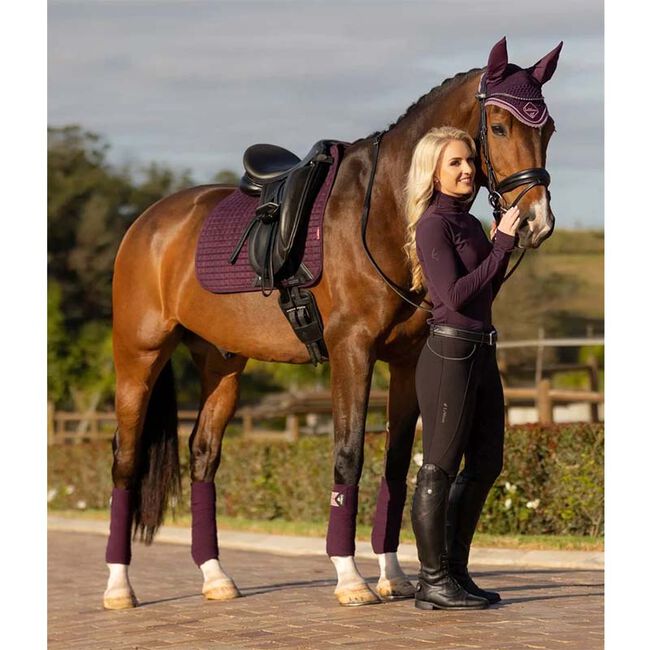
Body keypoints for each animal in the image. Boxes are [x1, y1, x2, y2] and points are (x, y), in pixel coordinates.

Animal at [103, 37, 562, 609]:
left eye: (549, 128)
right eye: (498, 127)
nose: (537, 222)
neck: (384, 210)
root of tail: (147, 222)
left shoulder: (406, 361)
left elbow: (396, 462)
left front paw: (394, 574)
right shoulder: (352, 351)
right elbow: (348, 456)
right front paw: (350, 578)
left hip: (222, 366)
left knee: (203, 456)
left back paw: (215, 577)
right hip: (138, 358)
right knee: (125, 459)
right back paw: (119, 586)